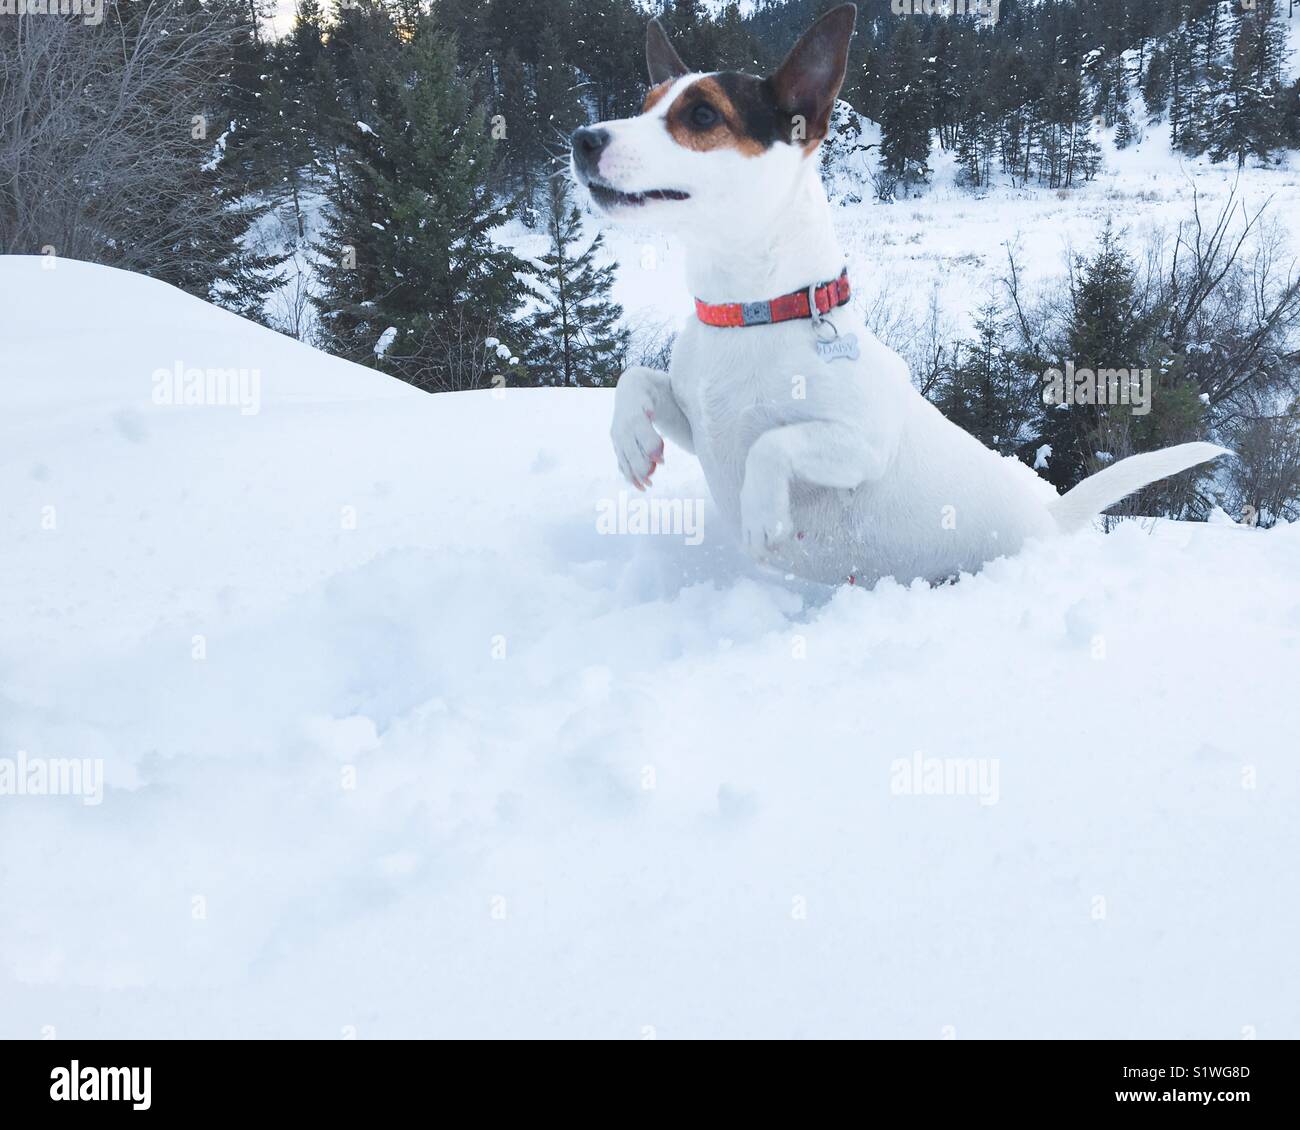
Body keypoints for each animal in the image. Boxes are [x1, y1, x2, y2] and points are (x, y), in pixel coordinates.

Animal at [566, 0, 1216, 582]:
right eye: (645, 104)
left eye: (702, 115)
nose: (582, 138)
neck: (752, 312)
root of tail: (1048, 518)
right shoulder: (700, 425)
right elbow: (636, 379)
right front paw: (631, 442)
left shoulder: (859, 445)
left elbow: (773, 443)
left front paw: (761, 515)